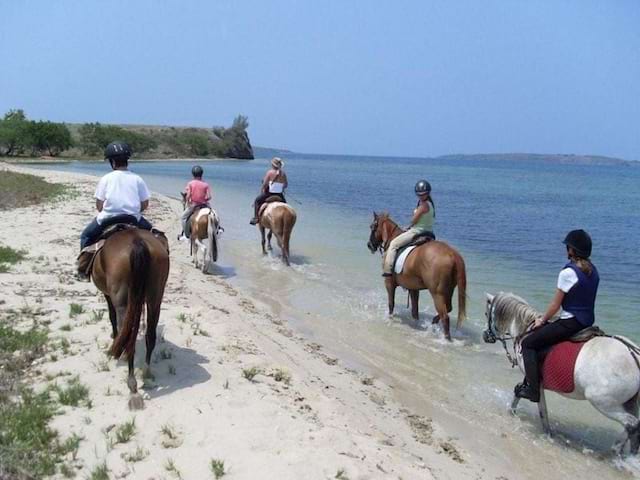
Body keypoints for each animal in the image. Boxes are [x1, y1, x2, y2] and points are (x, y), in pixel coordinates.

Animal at [91, 229, 170, 408]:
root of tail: (137, 242)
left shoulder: (108, 295)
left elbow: (112, 316)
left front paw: (114, 338)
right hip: (155, 297)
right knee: (150, 336)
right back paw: (146, 373)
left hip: (122, 300)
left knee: (127, 336)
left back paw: (132, 385)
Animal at [368, 212, 468, 340]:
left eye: (372, 227)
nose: (369, 245)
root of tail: (453, 254)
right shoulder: (413, 289)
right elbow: (415, 311)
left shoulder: (389, 283)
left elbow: (391, 304)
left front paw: (390, 318)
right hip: (449, 290)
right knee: (449, 308)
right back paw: (434, 322)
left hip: (437, 293)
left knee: (445, 316)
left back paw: (446, 337)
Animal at [484, 290, 640, 452]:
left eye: (486, 313)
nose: (485, 335)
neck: (526, 330)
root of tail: (632, 353)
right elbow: (520, 395)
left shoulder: (535, 382)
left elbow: (536, 405)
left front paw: (545, 432)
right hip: (630, 403)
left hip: (603, 402)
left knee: (632, 424)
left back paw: (618, 451)